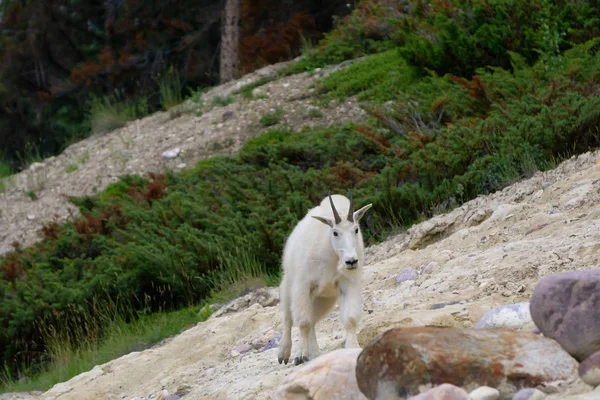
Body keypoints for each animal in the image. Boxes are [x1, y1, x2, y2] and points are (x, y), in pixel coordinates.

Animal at [276, 191, 370, 366]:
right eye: (335, 232)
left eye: (356, 229)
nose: (351, 261)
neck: (331, 255)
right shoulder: (303, 286)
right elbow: (303, 322)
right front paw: (299, 356)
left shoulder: (347, 284)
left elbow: (350, 319)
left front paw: (353, 347)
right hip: (288, 286)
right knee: (288, 319)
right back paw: (284, 353)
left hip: (323, 299)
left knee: (313, 320)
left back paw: (314, 353)